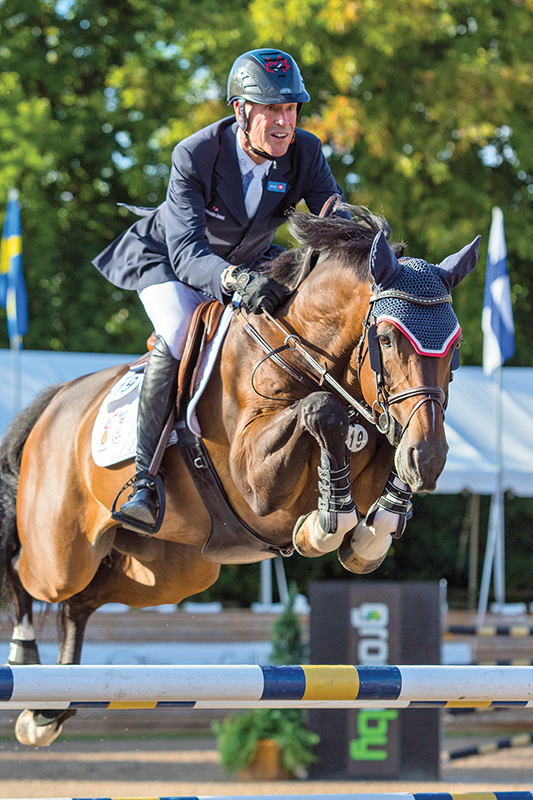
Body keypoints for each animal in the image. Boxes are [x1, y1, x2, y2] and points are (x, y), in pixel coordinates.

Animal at [0, 203, 479, 746]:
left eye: (456, 345)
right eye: (385, 338)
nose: (432, 459)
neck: (303, 352)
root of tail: (54, 402)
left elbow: (381, 455)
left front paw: (369, 534)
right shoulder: (254, 477)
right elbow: (321, 410)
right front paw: (325, 524)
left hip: (169, 574)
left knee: (81, 604)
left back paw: (48, 710)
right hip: (61, 551)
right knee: (28, 574)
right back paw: (25, 662)